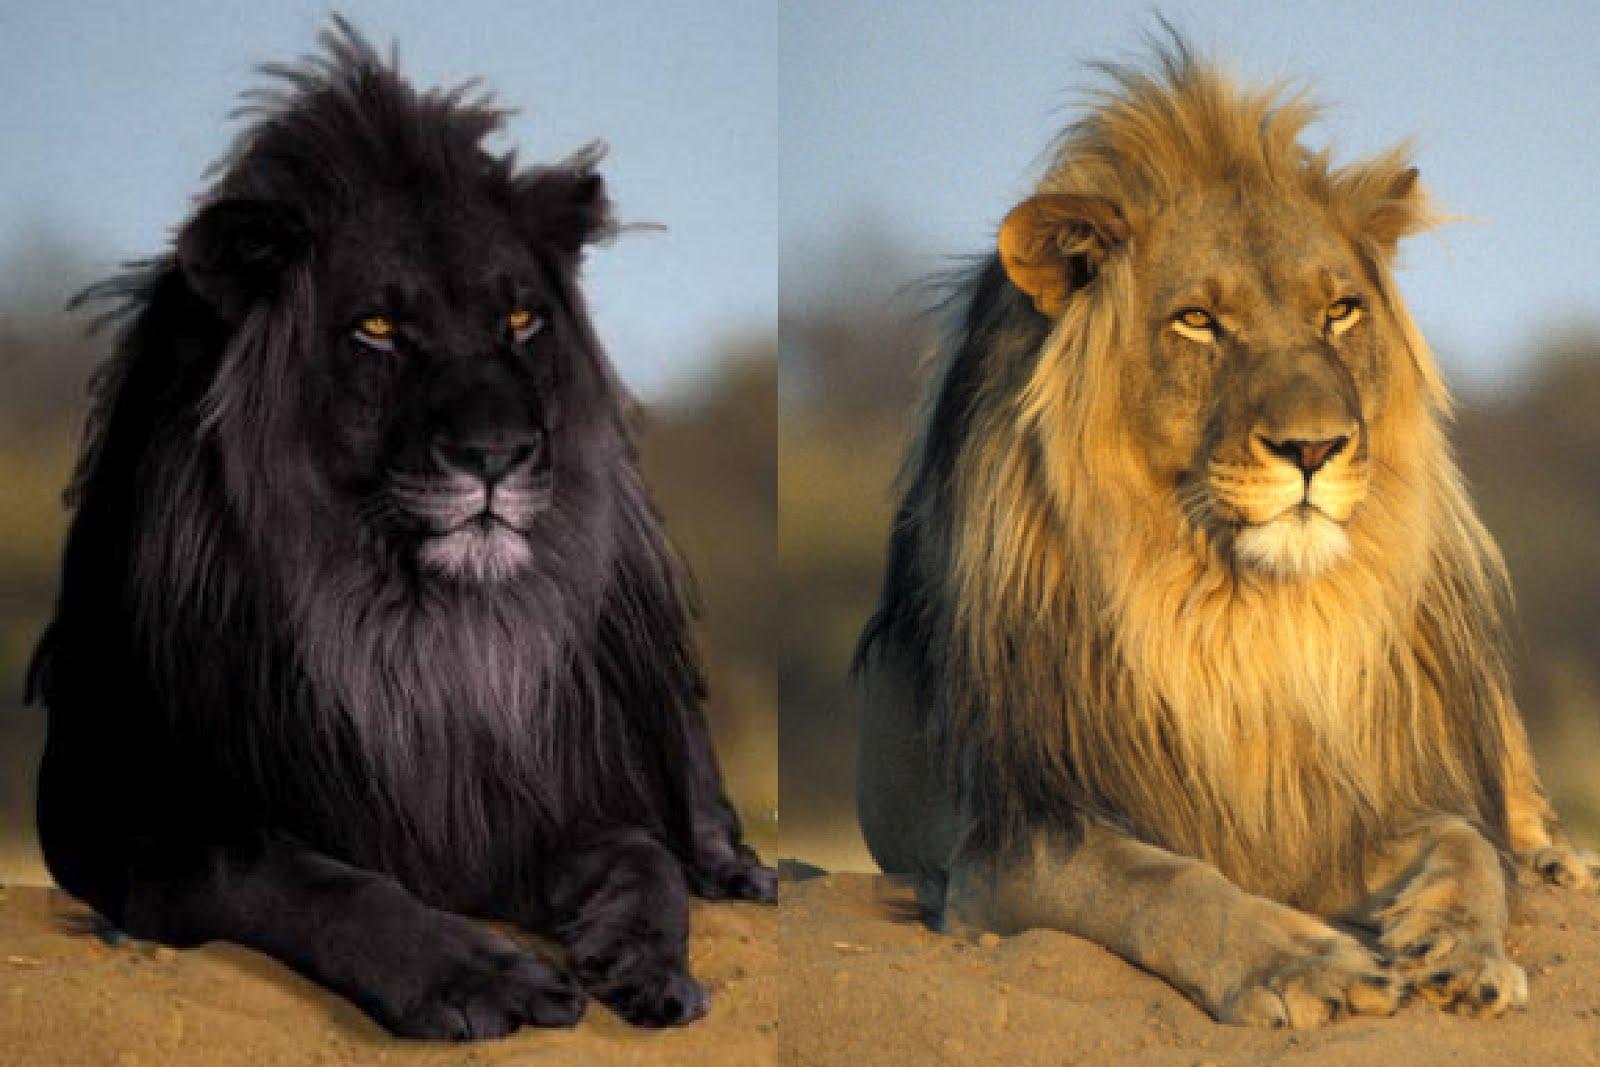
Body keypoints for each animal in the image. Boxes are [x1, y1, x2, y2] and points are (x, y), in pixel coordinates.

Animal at [27, 21, 772, 1040]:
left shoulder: (529, 790)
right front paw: (477, 978)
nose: (497, 454)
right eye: (378, 328)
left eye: (520, 318)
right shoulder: (116, 801)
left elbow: (642, 853)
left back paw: (736, 868)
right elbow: (300, 873)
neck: (417, 639)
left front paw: (648, 964)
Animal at [855, 41, 1597, 1028]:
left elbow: (1465, 843)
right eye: (1199, 320)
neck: (1241, 622)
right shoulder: (1006, 836)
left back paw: (1555, 860)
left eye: (1340, 311)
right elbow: (1157, 880)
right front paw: (1304, 963)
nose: (1315, 447)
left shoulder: (1343, 800)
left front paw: (1463, 947)